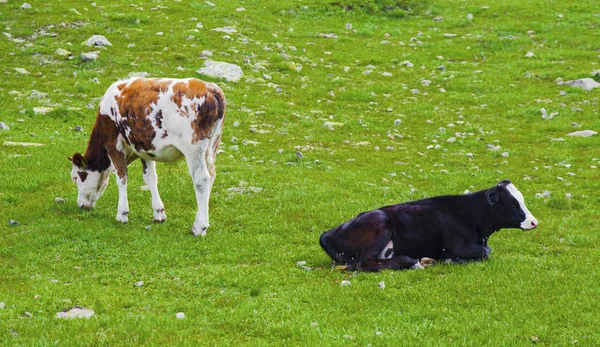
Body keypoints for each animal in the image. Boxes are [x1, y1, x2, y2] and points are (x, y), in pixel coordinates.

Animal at [66, 78, 225, 238]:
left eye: (75, 178)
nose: (81, 205)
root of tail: (210, 88)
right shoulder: (144, 148)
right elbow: (150, 178)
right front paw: (159, 213)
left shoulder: (113, 143)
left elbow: (122, 178)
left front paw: (122, 214)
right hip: (212, 147)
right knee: (211, 175)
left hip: (194, 148)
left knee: (201, 180)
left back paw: (199, 226)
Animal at [318, 181, 540, 274]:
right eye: (511, 203)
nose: (534, 222)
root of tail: (327, 234)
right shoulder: (459, 245)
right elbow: (486, 252)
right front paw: (452, 260)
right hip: (379, 224)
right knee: (366, 264)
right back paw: (412, 262)